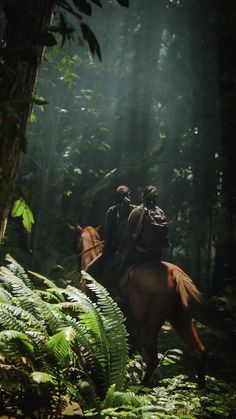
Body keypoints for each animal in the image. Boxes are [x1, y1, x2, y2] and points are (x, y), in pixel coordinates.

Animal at [76, 226, 206, 388]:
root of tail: (174, 272)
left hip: (149, 326)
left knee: (153, 359)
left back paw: (141, 387)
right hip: (181, 319)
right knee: (199, 351)